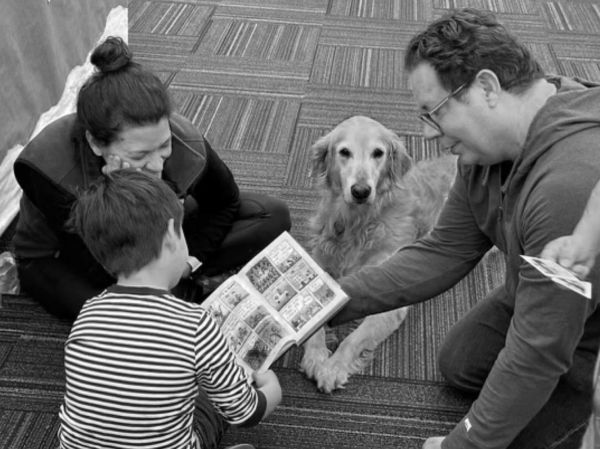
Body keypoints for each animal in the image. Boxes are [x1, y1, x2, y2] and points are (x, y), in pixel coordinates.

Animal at [300, 114, 454, 392]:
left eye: (378, 153)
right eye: (344, 152)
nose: (361, 191)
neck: (359, 222)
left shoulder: (390, 299)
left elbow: (353, 338)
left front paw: (333, 367)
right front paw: (316, 355)